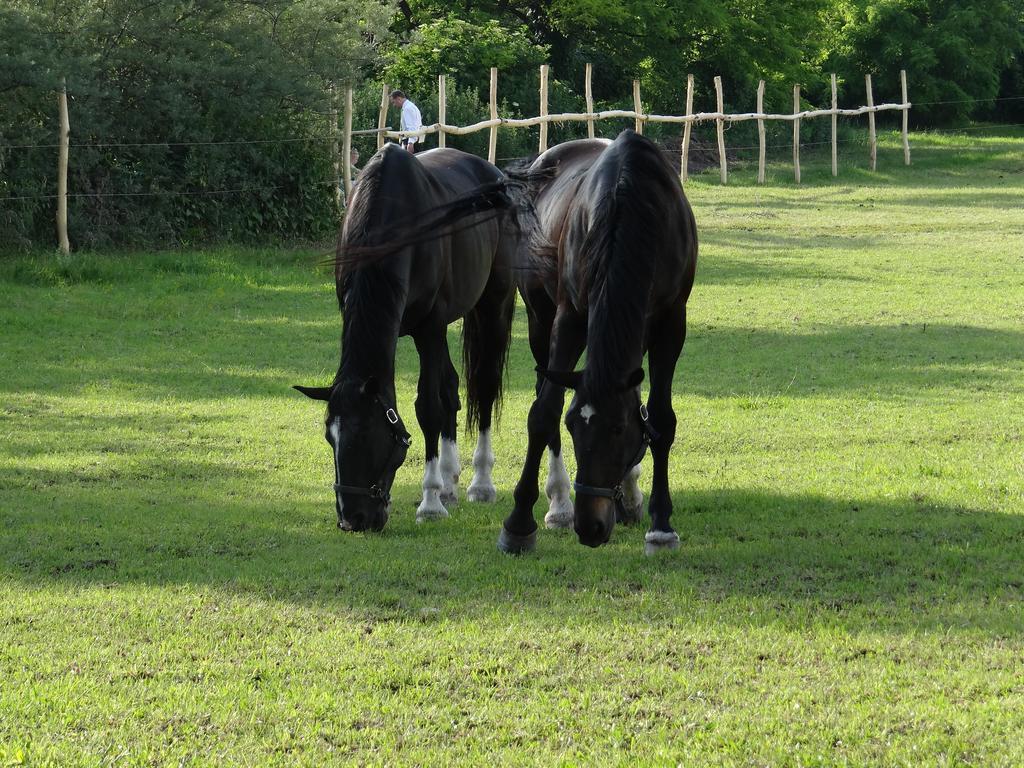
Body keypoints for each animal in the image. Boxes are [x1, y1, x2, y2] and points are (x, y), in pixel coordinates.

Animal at [296, 147, 520, 536]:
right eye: (330, 438)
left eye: (366, 435)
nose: (352, 520)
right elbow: (441, 398)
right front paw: (440, 490)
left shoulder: (428, 328)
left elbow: (428, 407)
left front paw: (430, 503)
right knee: (452, 388)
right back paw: (450, 483)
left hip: (493, 305)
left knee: (484, 388)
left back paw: (480, 484)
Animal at [499, 131, 700, 552]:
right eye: (574, 425)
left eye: (619, 430)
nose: (589, 526)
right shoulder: (570, 318)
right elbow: (543, 413)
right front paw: (519, 522)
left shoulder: (671, 322)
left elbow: (659, 418)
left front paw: (660, 523)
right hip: (540, 321)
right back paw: (559, 504)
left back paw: (629, 499)